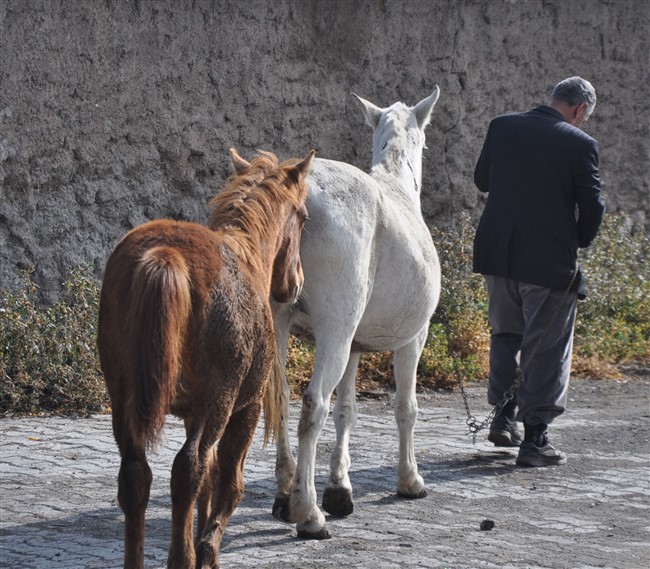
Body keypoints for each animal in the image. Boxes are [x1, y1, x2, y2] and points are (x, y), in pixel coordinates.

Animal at [97, 149, 316, 564]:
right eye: (304, 216)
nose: (296, 282)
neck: (249, 257)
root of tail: (166, 255)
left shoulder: (189, 413)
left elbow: (209, 482)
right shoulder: (244, 409)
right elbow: (228, 482)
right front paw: (207, 548)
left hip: (124, 400)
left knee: (137, 475)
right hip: (219, 401)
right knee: (188, 470)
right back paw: (184, 556)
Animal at [268, 87, 440, 536]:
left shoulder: (356, 346)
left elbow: (347, 410)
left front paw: (340, 488)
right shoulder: (414, 339)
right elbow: (405, 408)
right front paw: (410, 479)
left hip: (281, 324)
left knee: (280, 398)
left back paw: (286, 493)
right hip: (336, 330)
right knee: (313, 406)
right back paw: (308, 512)